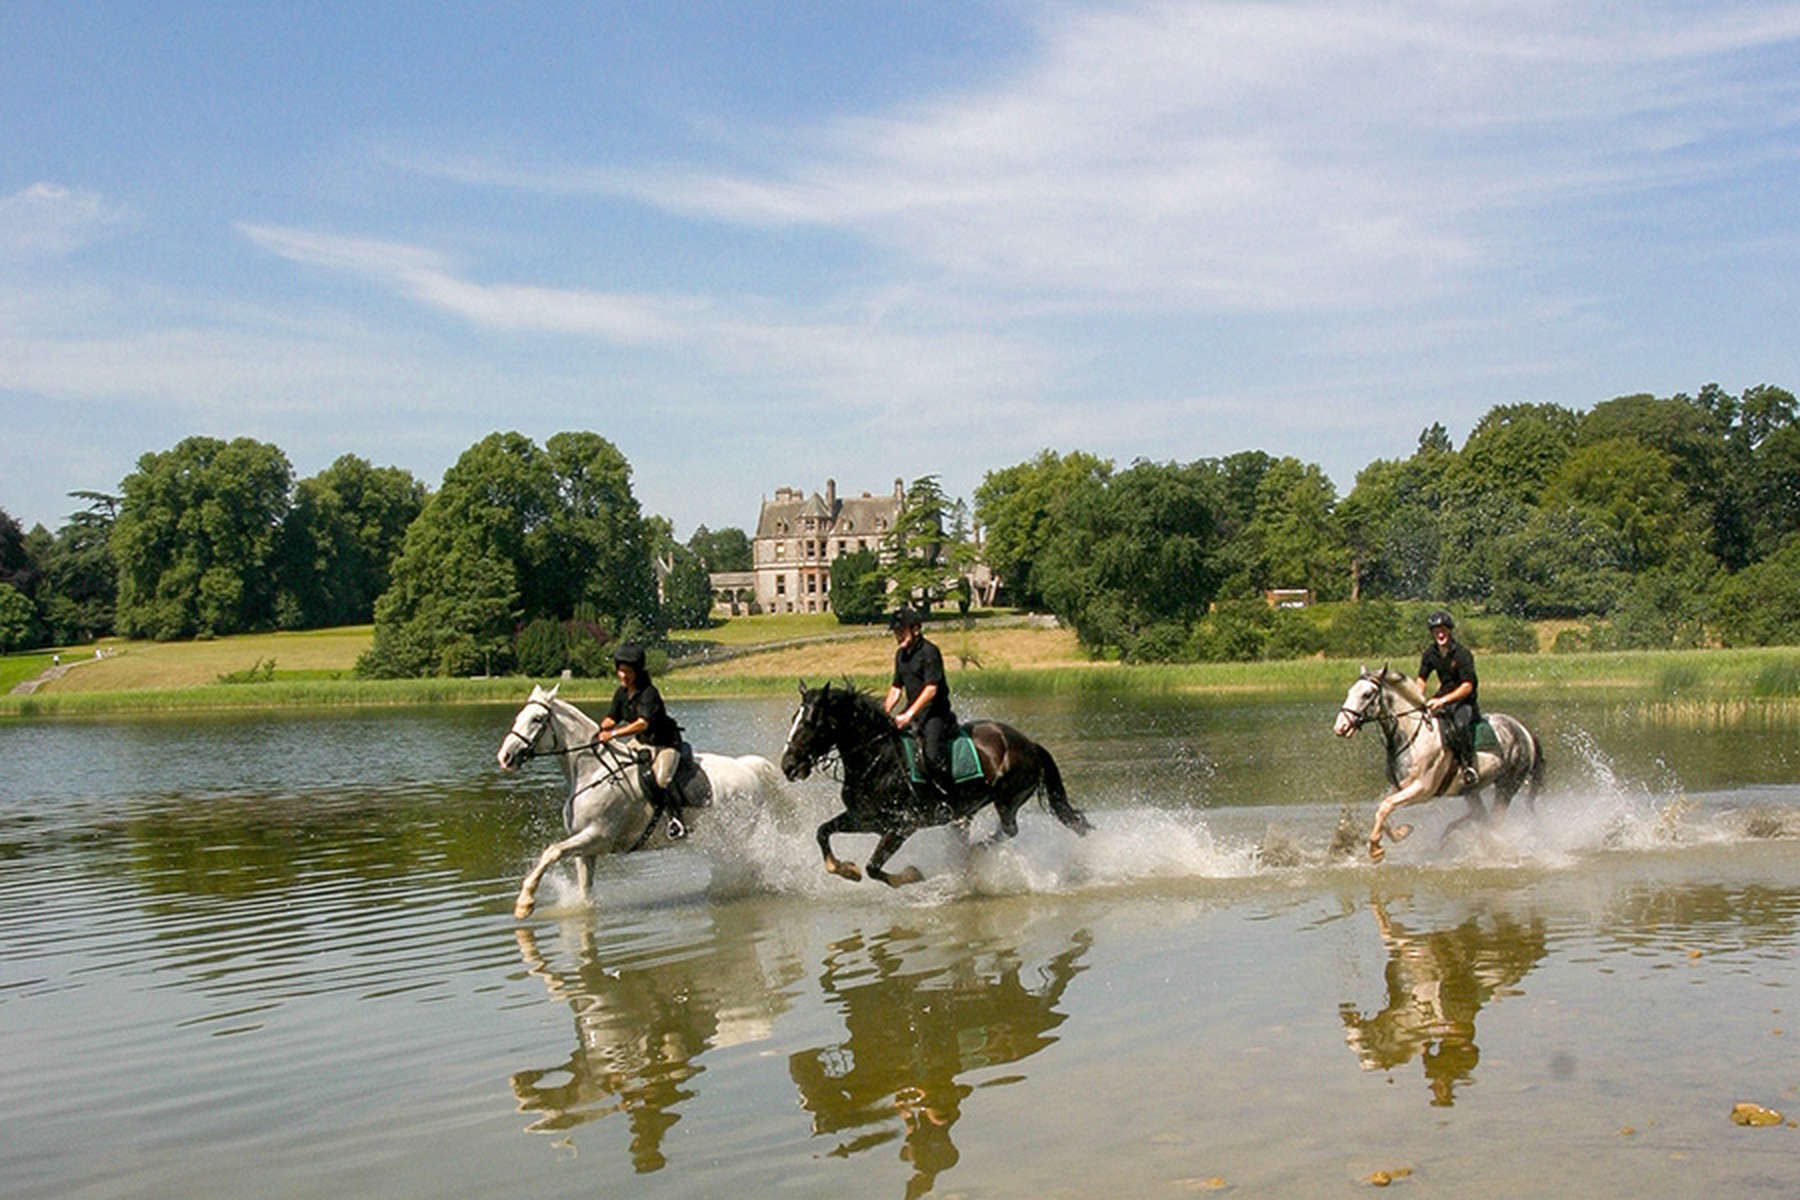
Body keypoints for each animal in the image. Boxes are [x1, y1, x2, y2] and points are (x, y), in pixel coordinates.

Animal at [496, 683, 784, 921]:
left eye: (537, 719)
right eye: (518, 717)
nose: (505, 757)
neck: (593, 772)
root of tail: (746, 767)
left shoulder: (598, 836)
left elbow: (551, 852)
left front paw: (524, 903)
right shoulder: (585, 848)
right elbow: (584, 888)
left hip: (736, 833)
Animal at [781, 680, 1087, 888]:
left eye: (811, 723)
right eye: (793, 719)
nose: (788, 767)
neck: (879, 760)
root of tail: (1030, 744)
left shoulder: (902, 826)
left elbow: (874, 868)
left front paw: (912, 875)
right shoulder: (864, 819)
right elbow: (823, 832)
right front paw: (845, 870)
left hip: (1008, 798)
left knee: (1009, 828)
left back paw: (975, 854)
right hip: (968, 809)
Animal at [1332, 672, 1540, 859]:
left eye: (1367, 694)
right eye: (1350, 691)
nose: (1341, 727)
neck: (1410, 737)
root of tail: (1524, 731)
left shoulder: (1422, 790)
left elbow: (1386, 805)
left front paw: (1376, 849)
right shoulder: (1399, 786)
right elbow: (1383, 807)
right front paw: (1401, 832)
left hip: (1508, 784)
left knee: (1494, 820)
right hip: (1470, 790)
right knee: (1481, 815)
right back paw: (1451, 835)